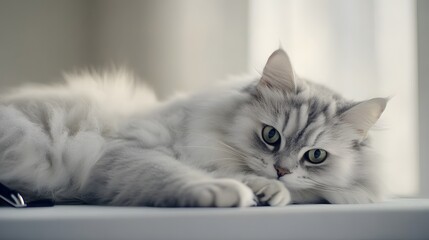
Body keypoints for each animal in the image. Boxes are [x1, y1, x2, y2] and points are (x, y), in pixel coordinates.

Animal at [0, 49, 386, 207]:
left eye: (316, 156)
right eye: (271, 135)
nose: (281, 170)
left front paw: (269, 192)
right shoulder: (124, 153)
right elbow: (177, 173)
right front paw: (223, 191)